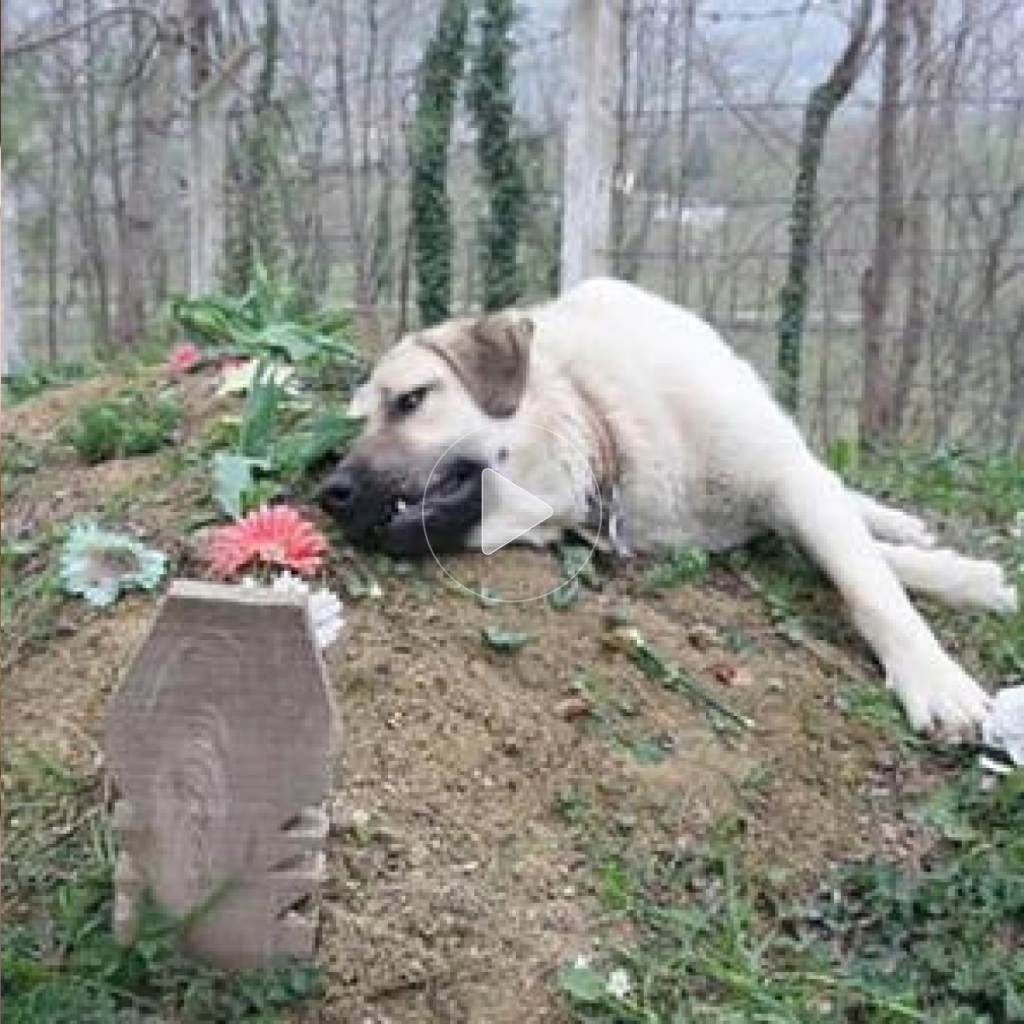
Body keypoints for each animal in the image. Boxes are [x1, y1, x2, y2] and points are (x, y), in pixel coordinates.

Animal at [319, 278, 1015, 737]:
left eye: (411, 399)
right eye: (350, 428)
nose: (330, 495)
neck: (602, 424)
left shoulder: (785, 483)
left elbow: (869, 581)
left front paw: (936, 673)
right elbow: (860, 563)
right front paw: (968, 581)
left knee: (841, 491)